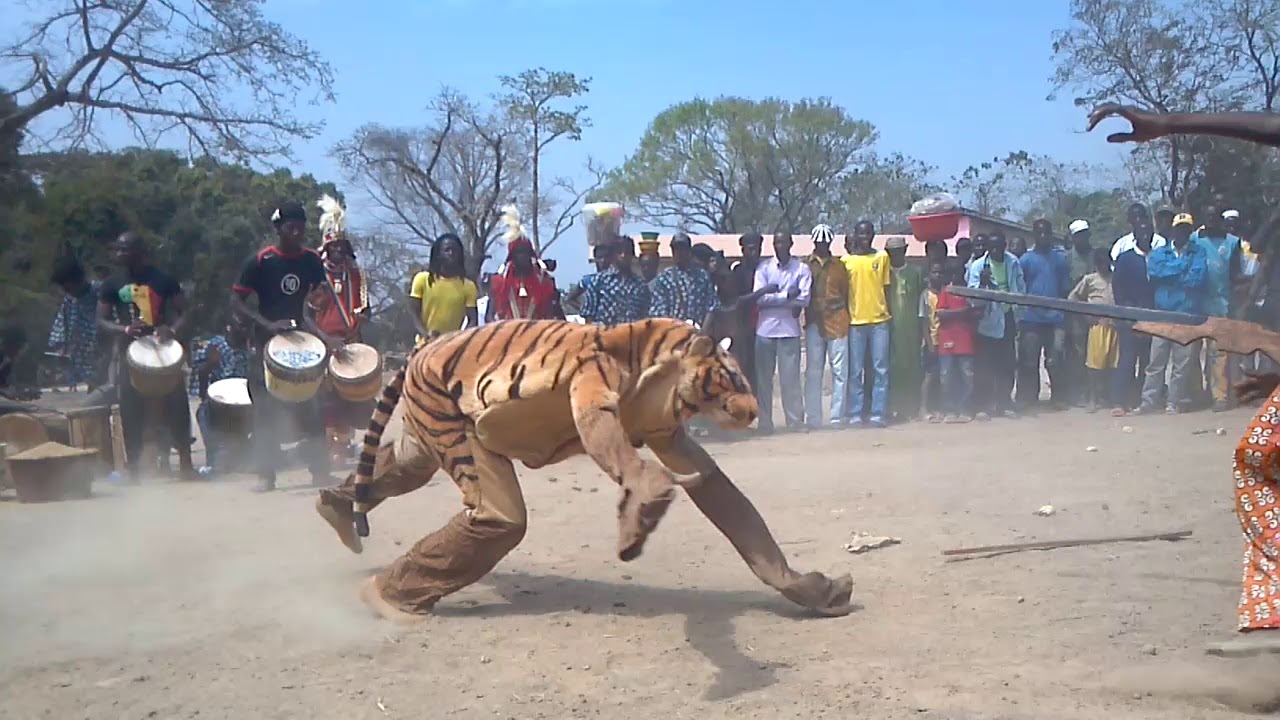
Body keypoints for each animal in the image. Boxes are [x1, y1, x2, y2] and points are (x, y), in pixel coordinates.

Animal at [315, 318, 853, 622]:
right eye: (736, 378)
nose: (755, 411)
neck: (662, 369)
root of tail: (424, 346)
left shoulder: (667, 432)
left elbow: (732, 507)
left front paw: (811, 589)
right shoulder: (594, 387)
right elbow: (618, 449)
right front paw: (643, 502)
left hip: (426, 434)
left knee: (397, 465)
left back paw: (335, 510)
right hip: (448, 428)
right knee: (495, 517)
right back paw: (386, 599)